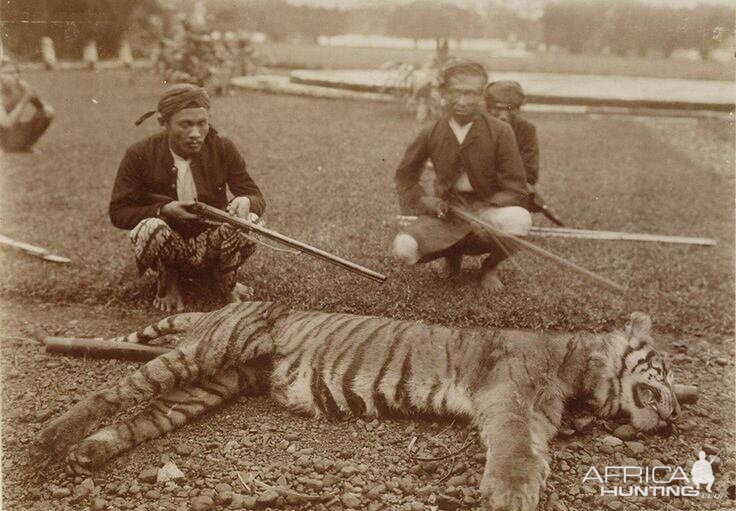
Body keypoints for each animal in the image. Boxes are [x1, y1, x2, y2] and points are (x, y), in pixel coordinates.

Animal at [31, 302, 680, 510]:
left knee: (141, 417)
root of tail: (227, 304)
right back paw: (50, 440)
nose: (676, 415)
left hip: (206, 388)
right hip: (206, 352)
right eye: (668, 372)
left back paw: (89, 454)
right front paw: (509, 497)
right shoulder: (513, 401)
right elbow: (518, 454)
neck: (584, 372)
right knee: (117, 392)